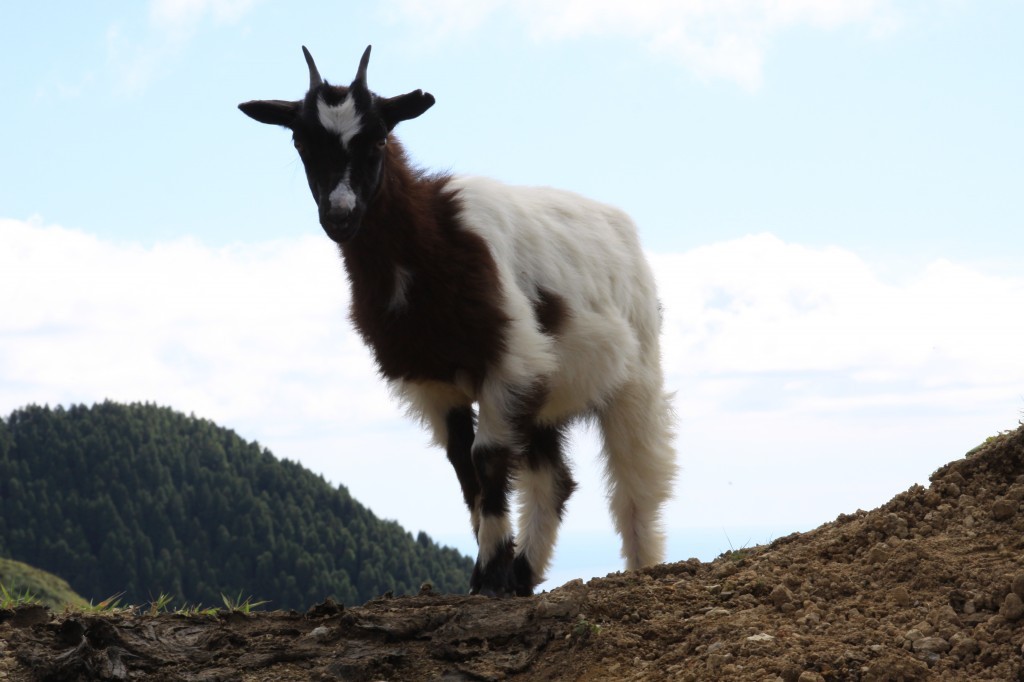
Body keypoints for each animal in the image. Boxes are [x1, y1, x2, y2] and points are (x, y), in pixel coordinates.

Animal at [235, 45, 675, 593]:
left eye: (379, 136)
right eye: (300, 139)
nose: (340, 215)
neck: (430, 245)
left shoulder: (508, 358)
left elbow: (486, 459)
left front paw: (487, 573)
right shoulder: (434, 381)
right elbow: (464, 468)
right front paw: (494, 572)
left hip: (633, 376)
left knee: (636, 480)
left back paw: (641, 563)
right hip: (546, 395)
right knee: (554, 480)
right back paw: (523, 575)